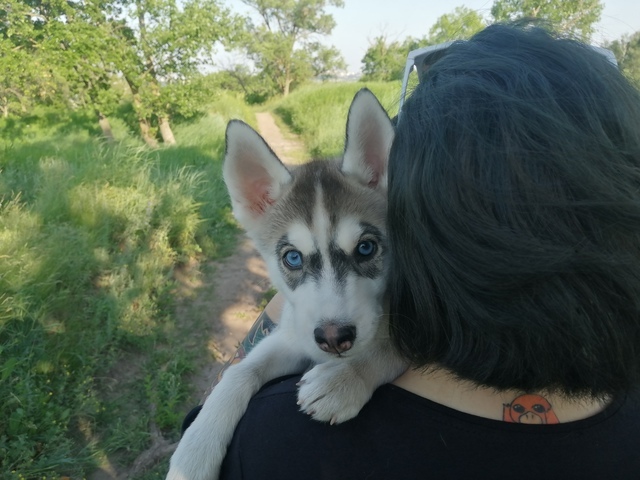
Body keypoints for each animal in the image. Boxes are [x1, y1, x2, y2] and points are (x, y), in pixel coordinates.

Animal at [165, 89, 404, 480]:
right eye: (292, 258)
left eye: (366, 248)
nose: (334, 339)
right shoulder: (294, 335)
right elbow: (240, 371)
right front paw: (194, 453)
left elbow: (390, 346)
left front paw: (343, 379)